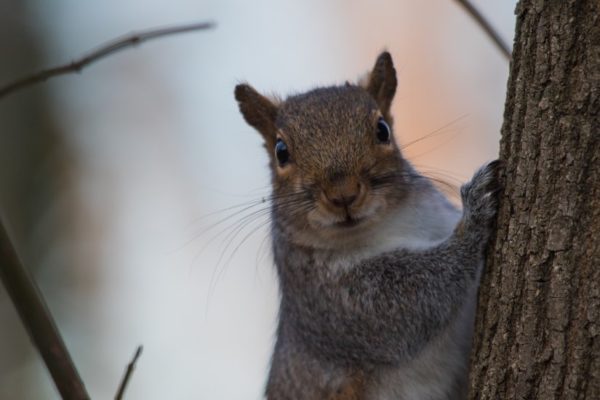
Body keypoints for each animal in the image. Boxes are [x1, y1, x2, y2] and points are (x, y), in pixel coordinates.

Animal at [234, 51, 502, 398]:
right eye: (281, 151)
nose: (343, 194)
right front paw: (476, 212)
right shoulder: (335, 303)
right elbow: (418, 299)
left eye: (382, 129)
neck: (392, 225)